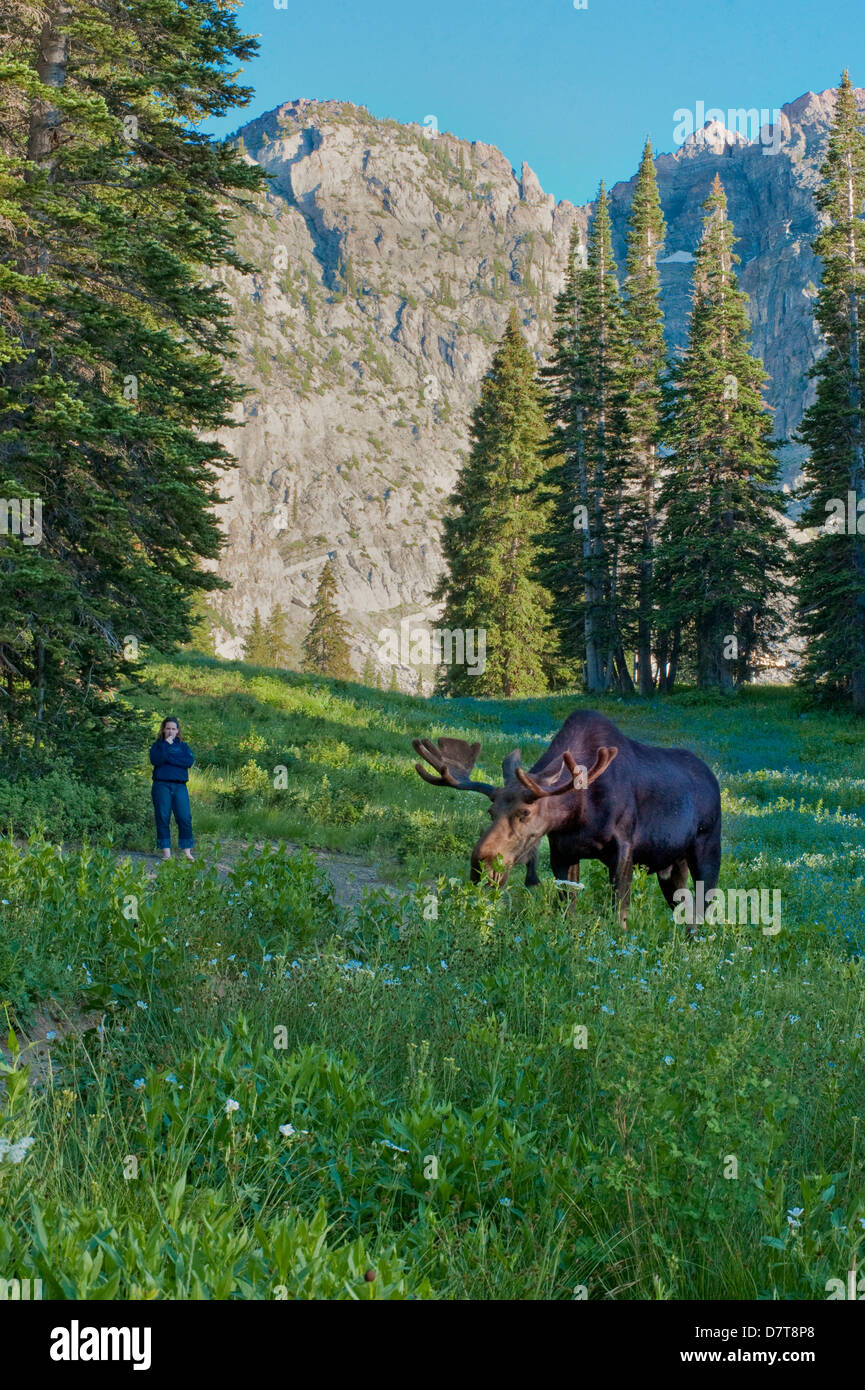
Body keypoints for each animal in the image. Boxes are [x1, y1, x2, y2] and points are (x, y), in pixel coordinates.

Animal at [414, 711, 723, 928]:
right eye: (491, 812)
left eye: (525, 812)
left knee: (704, 912)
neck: (578, 812)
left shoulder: (623, 849)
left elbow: (618, 914)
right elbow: (567, 911)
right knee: (685, 914)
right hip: (671, 865)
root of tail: (713, 778)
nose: (481, 865)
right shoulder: (563, 852)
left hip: (707, 849)